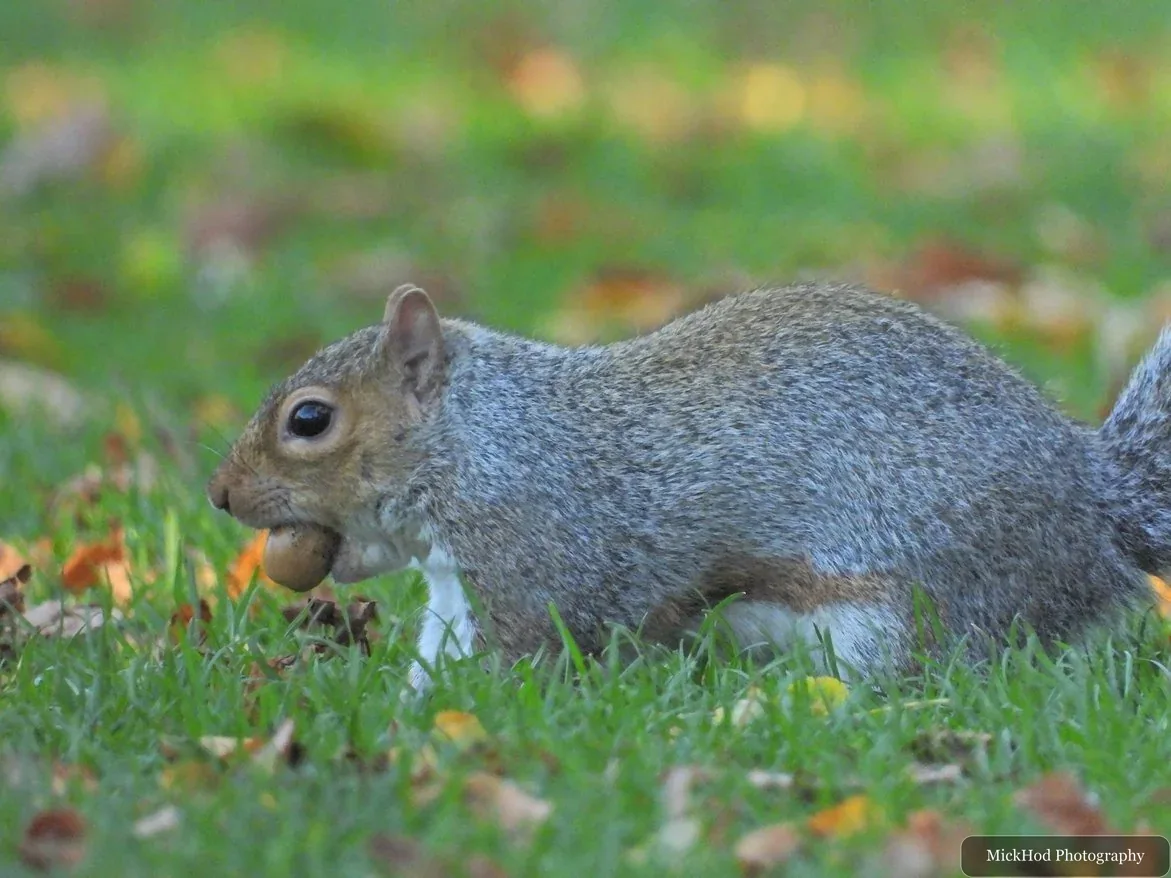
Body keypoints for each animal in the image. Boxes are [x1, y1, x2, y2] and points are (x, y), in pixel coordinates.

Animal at [207, 282, 1167, 690]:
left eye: (308, 420)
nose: (220, 494)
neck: (485, 443)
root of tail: (1089, 497)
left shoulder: (535, 561)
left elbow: (518, 655)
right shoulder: (453, 585)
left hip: (912, 603)